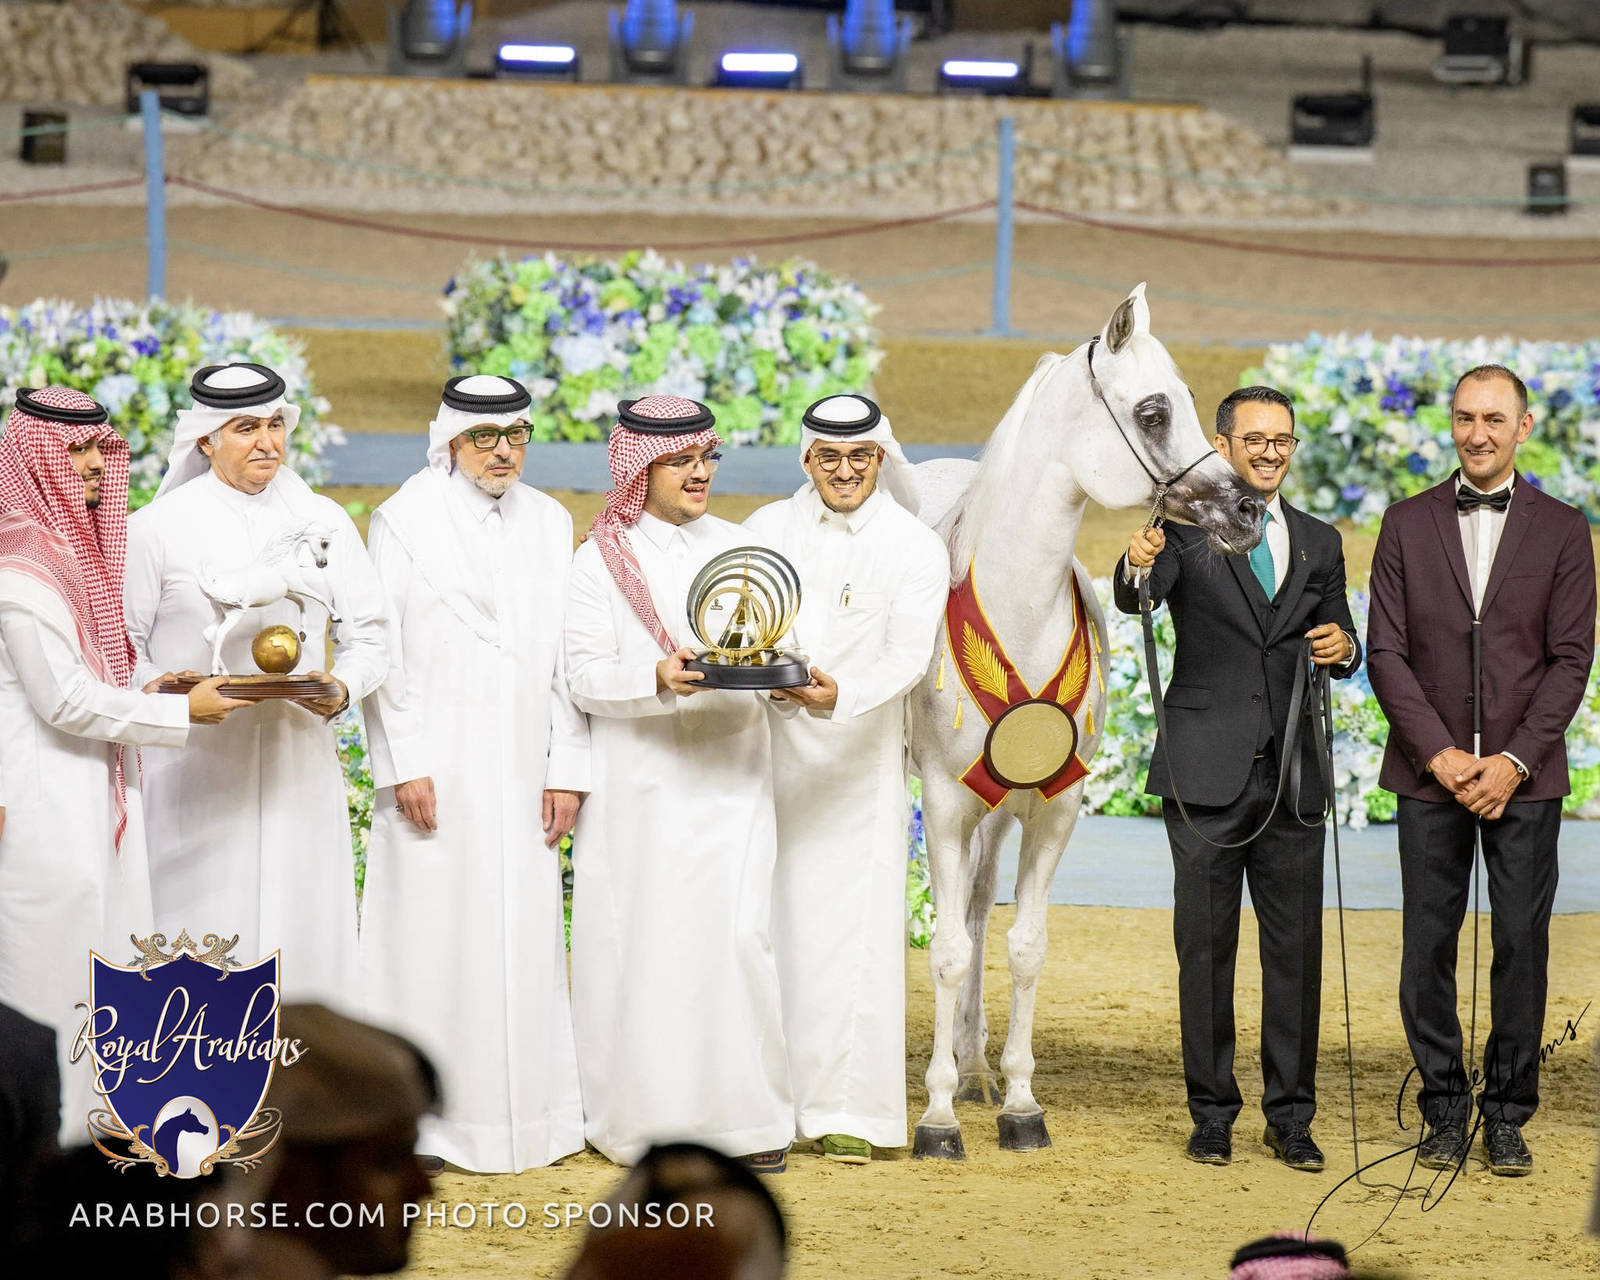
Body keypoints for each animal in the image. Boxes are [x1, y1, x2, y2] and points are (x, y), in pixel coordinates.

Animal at [196, 522, 340, 675]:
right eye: (325, 543)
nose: (323, 564)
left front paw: (303, 633)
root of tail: (212, 584)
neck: (279, 561)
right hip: (234, 614)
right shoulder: (297, 585)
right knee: (220, 634)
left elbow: (301, 602)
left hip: (220, 613)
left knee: (208, 634)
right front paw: (337, 617)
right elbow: (320, 597)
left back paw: (225, 672)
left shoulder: (288, 592)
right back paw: (215, 672)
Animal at [904, 283, 1265, 1159]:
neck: (1017, 608)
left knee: (979, 905)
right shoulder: (944, 802)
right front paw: (936, 1120)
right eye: (1154, 411)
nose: (1248, 508)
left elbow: (1024, 946)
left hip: (1001, 809)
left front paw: (1018, 1105)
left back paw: (974, 1067)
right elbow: (949, 952)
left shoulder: (1055, 806)